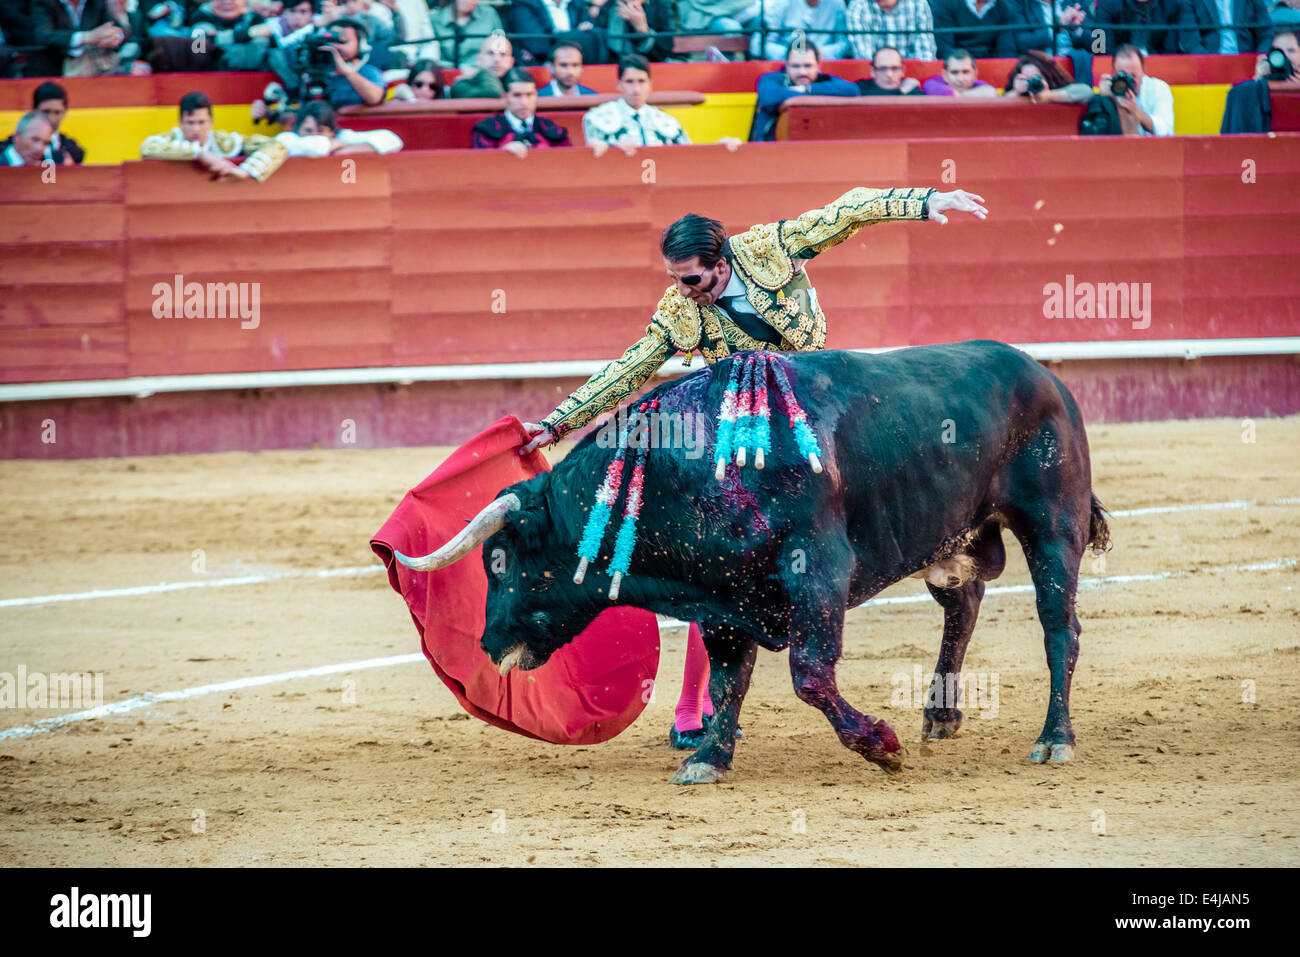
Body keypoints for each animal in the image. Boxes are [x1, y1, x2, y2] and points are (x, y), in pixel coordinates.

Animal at [403, 343, 1107, 785]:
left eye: (499, 561)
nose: (487, 643)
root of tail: (1043, 374)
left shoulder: (818, 571)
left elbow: (809, 674)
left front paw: (881, 746)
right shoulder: (722, 598)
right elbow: (726, 682)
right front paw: (708, 759)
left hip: (1052, 522)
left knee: (1060, 627)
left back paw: (1055, 739)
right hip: (952, 536)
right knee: (963, 602)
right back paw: (940, 716)